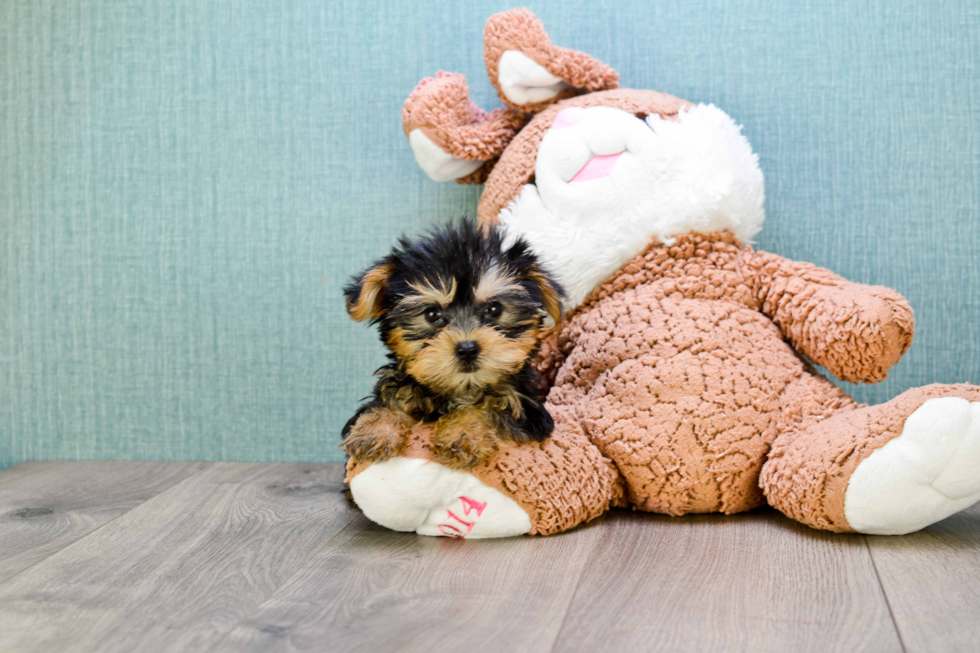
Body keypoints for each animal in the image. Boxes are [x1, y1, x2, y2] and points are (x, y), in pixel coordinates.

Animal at [340, 219, 564, 468]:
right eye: (431, 314)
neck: (460, 389)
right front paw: (375, 430)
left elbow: (487, 405)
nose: (467, 349)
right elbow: (389, 399)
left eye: (494, 309)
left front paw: (463, 434)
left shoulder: (527, 414)